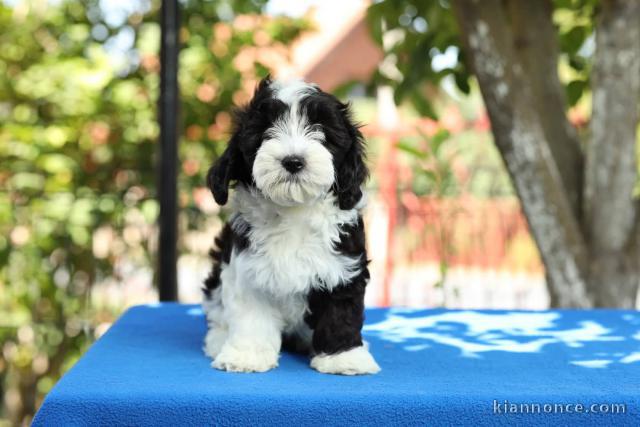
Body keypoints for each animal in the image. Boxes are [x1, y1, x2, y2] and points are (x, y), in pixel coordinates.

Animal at [201, 78, 380, 376]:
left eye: (321, 131)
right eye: (266, 132)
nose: (293, 161)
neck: (294, 210)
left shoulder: (343, 266)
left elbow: (341, 311)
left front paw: (343, 358)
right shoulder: (248, 271)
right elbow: (251, 315)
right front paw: (247, 356)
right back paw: (218, 339)